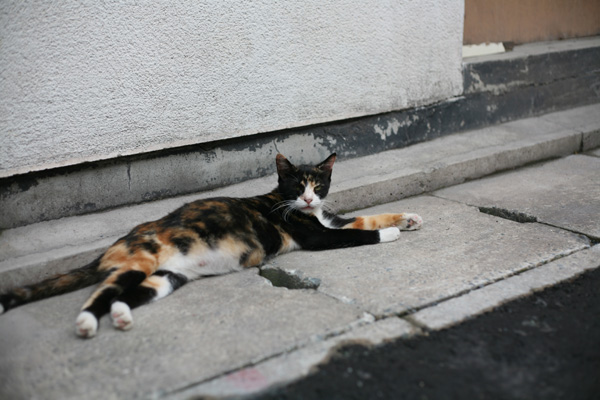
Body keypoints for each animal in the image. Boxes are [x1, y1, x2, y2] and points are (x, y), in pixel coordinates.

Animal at [0, 153, 422, 338]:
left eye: (318, 185)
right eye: (295, 184)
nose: (306, 199)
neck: (302, 210)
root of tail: (112, 247)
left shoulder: (328, 219)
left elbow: (366, 218)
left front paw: (407, 218)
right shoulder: (317, 235)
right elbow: (358, 232)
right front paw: (390, 234)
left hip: (167, 276)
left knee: (126, 295)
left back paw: (121, 316)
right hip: (140, 261)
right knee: (102, 292)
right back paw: (88, 323)